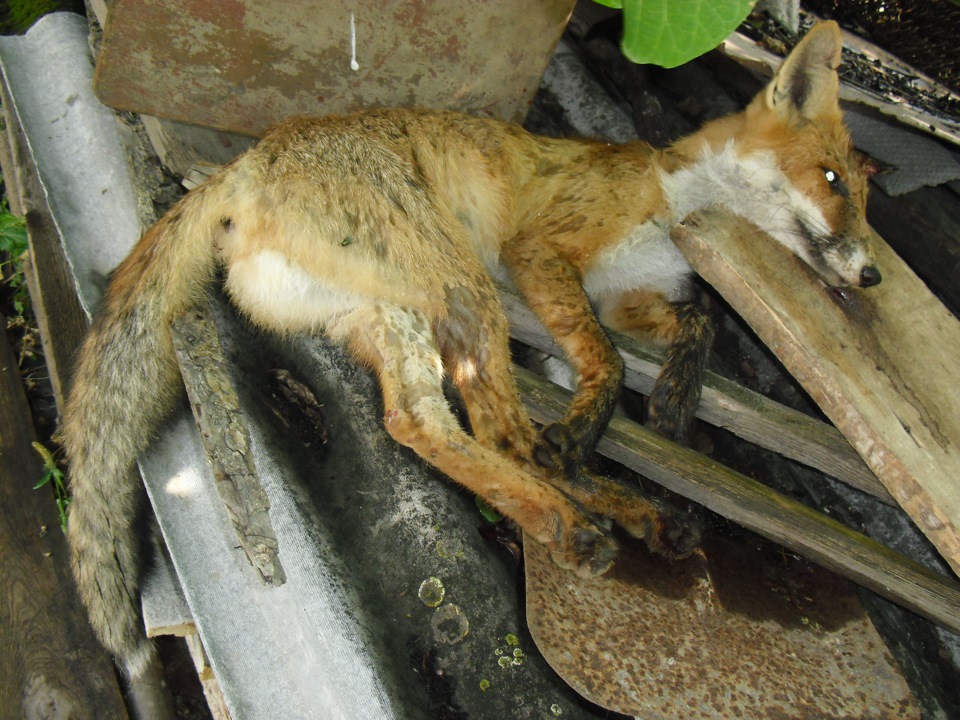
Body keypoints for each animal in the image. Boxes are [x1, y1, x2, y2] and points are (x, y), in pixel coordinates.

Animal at [63, 19, 874, 680]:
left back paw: (602, 507)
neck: (676, 208)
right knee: (502, 433)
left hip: (395, 314)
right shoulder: (541, 254)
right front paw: (602, 424)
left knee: (422, 424)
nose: (870, 275)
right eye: (832, 180)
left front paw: (674, 402)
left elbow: (696, 322)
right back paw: (574, 514)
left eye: (862, 199)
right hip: (465, 286)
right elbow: (610, 364)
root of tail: (247, 163)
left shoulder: (621, 296)